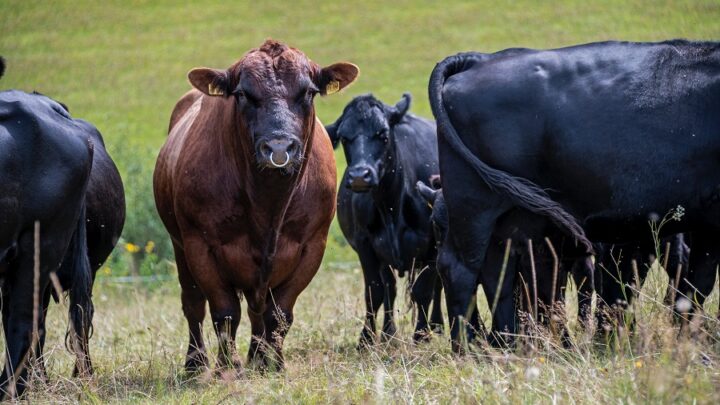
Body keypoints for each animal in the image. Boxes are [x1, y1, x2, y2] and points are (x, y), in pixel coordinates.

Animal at [153, 39, 358, 370]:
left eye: (308, 92)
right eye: (243, 94)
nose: (278, 147)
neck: (268, 204)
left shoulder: (312, 245)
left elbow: (279, 313)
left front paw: (274, 364)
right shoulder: (200, 245)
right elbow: (224, 312)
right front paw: (227, 366)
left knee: (256, 309)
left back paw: (257, 357)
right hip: (180, 245)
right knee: (193, 304)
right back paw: (196, 363)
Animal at [328, 94, 444, 344]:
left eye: (383, 134)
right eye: (344, 138)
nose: (359, 176)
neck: (390, 205)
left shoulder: (433, 244)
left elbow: (424, 291)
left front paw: (421, 335)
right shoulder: (365, 245)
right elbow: (375, 291)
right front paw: (367, 338)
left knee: (439, 285)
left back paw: (437, 326)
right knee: (390, 288)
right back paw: (389, 333)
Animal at [430, 41, 720, 350]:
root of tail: (479, 59)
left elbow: (695, 284)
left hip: (509, 218)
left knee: (499, 273)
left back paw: (507, 344)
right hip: (474, 205)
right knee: (460, 269)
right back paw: (470, 348)